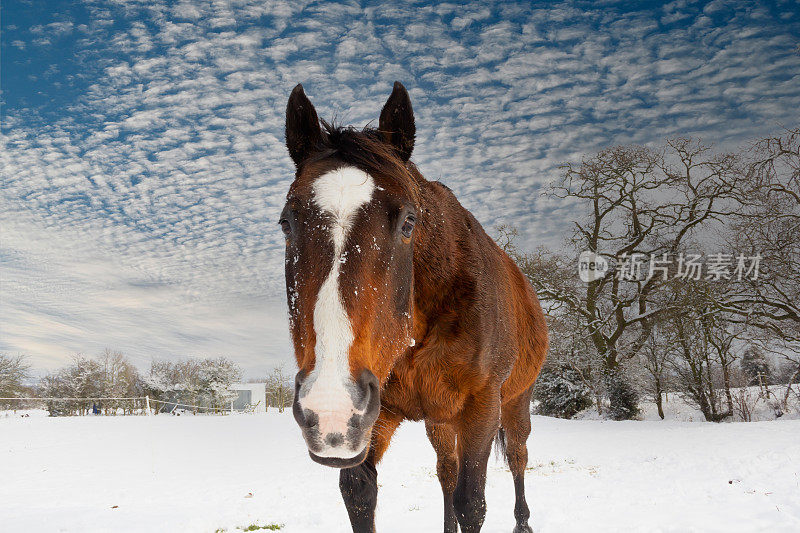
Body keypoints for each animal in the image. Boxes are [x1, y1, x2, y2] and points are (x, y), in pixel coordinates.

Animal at [282, 80, 552, 532]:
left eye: (409, 221)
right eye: (287, 223)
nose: (331, 405)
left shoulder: (482, 406)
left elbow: (472, 503)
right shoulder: (374, 417)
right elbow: (361, 496)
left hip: (515, 403)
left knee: (517, 458)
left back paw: (523, 521)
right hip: (438, 419)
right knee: (446, 471)